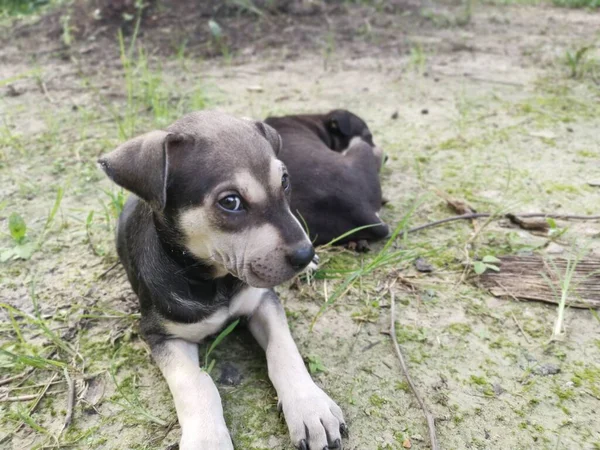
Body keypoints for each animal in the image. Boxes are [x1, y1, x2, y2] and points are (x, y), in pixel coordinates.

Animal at [96, 110, 344, 450]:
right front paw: (207, 439)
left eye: (284, 181)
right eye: (230, 202)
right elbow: (196, 383)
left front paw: (310, 406)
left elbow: (283, 349)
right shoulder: (161, 335)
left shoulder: (262, 300)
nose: (305, 253)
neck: (215, 281)